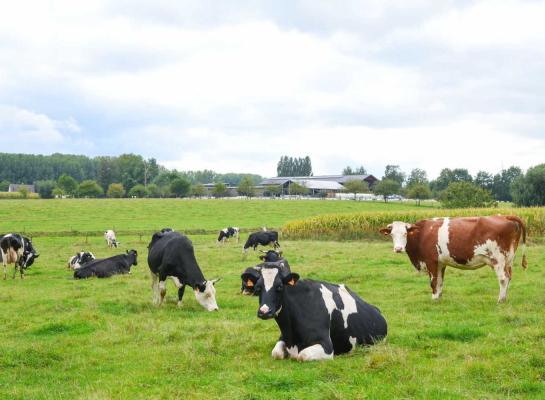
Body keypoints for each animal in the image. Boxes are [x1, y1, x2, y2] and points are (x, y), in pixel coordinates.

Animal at [241, 264, 386, 360]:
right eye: (258, 288)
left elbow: (302, 355)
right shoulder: (283, 337)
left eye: (280, 287)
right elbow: (276, 353)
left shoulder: (327, 347)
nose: (264, 311)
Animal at [378, 217, 528, 302]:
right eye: (392, 234)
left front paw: (433, 299)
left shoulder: (431, 261)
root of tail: (504, 216)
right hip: (508, 260)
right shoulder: (441, 263)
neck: (422, 233)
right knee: (509, 277)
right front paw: (438, 298)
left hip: (498, 259)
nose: (398, 249)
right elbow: (440, 281)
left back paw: (500, 300)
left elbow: (433, 282)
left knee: (503, 278)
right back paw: (505, 297)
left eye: (405, 234)